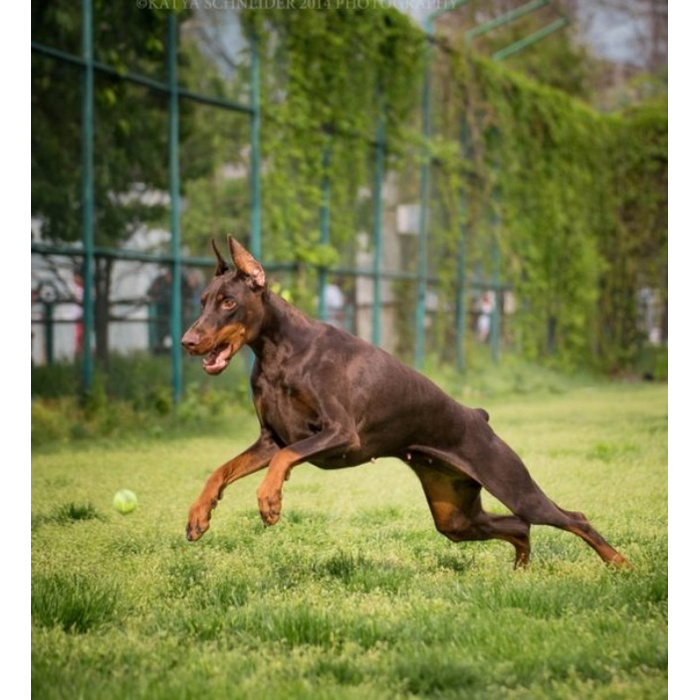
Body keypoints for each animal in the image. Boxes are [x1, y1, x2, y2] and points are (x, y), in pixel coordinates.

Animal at [180, 237, 628, 568]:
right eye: (202, 300)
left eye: (228, 302)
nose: (187, 340)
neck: (280, 353)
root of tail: (479, 416)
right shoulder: (270, 439)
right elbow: (221, 471)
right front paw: (199, 515)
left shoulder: (340, 433)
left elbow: (285, 459)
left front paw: (269, 500)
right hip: (455, 515)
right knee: (518, 528)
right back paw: (521, 567)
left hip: (512, 484)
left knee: (569, 518)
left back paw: (621, 564)